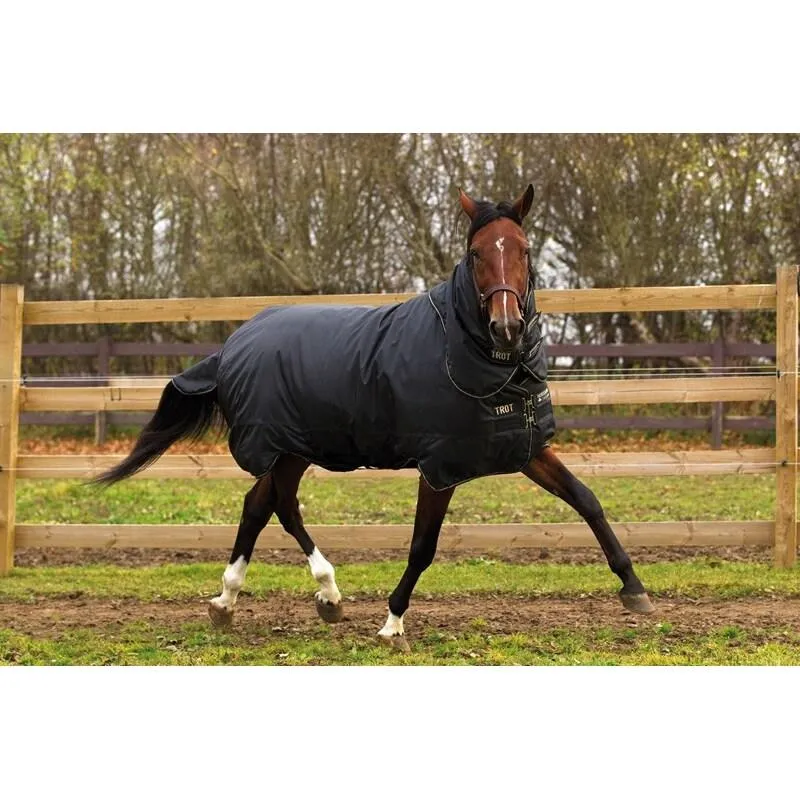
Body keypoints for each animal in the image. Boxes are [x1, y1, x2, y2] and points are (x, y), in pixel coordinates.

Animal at [95, 184, 654, 651]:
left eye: (525, 249)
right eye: (476, 253)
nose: (507, 327)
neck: (470, 352)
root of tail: (232, 345)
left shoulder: (525, 448)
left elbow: (587, 501)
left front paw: (635, 589)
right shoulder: (440, 465)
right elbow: (423, 546)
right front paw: (392, 623)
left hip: (294, 450)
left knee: (263, 505)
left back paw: (257, 602)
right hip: (281, 446)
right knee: (276, 505)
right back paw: (306, 594)